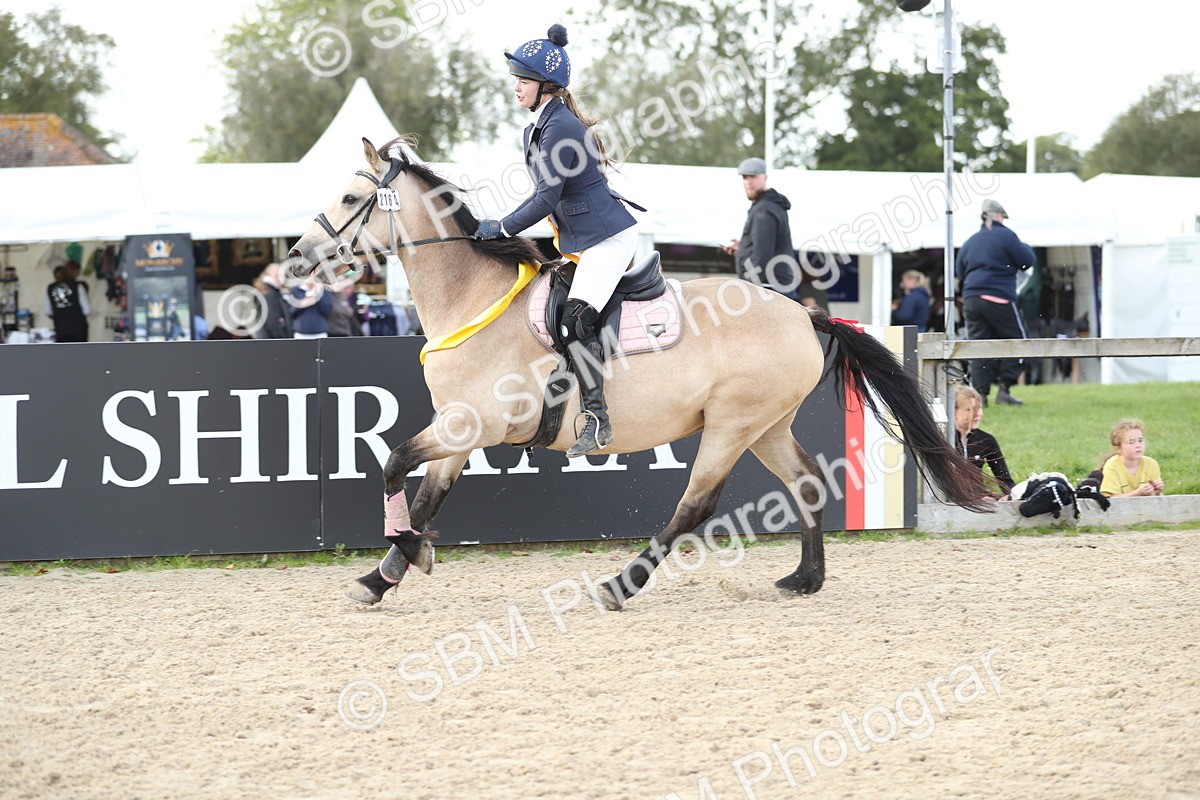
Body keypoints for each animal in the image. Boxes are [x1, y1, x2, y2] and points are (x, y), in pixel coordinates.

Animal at [287, 137, 992, 611]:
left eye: (350, 198)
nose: (296, 258)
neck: (472, 298)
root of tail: (803, 314)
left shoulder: (473, 423)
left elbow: (393, 465)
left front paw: (409, 555)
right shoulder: (459, 428)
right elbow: (421, 490)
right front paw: (386, 572)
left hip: (730, 426)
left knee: (695, 505)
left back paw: (620, 584)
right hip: (765, 426)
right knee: (808, 483)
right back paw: (805, 579)